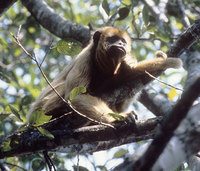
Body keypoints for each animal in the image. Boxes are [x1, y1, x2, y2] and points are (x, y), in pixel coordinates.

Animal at [27, 27, 182, 124]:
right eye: (113, 39)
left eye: (123, 41)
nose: (120, 44)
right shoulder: (84, 60)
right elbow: (75, 97)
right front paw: (118, 118)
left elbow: (131, 72)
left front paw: (164, 62)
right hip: (41, 111)